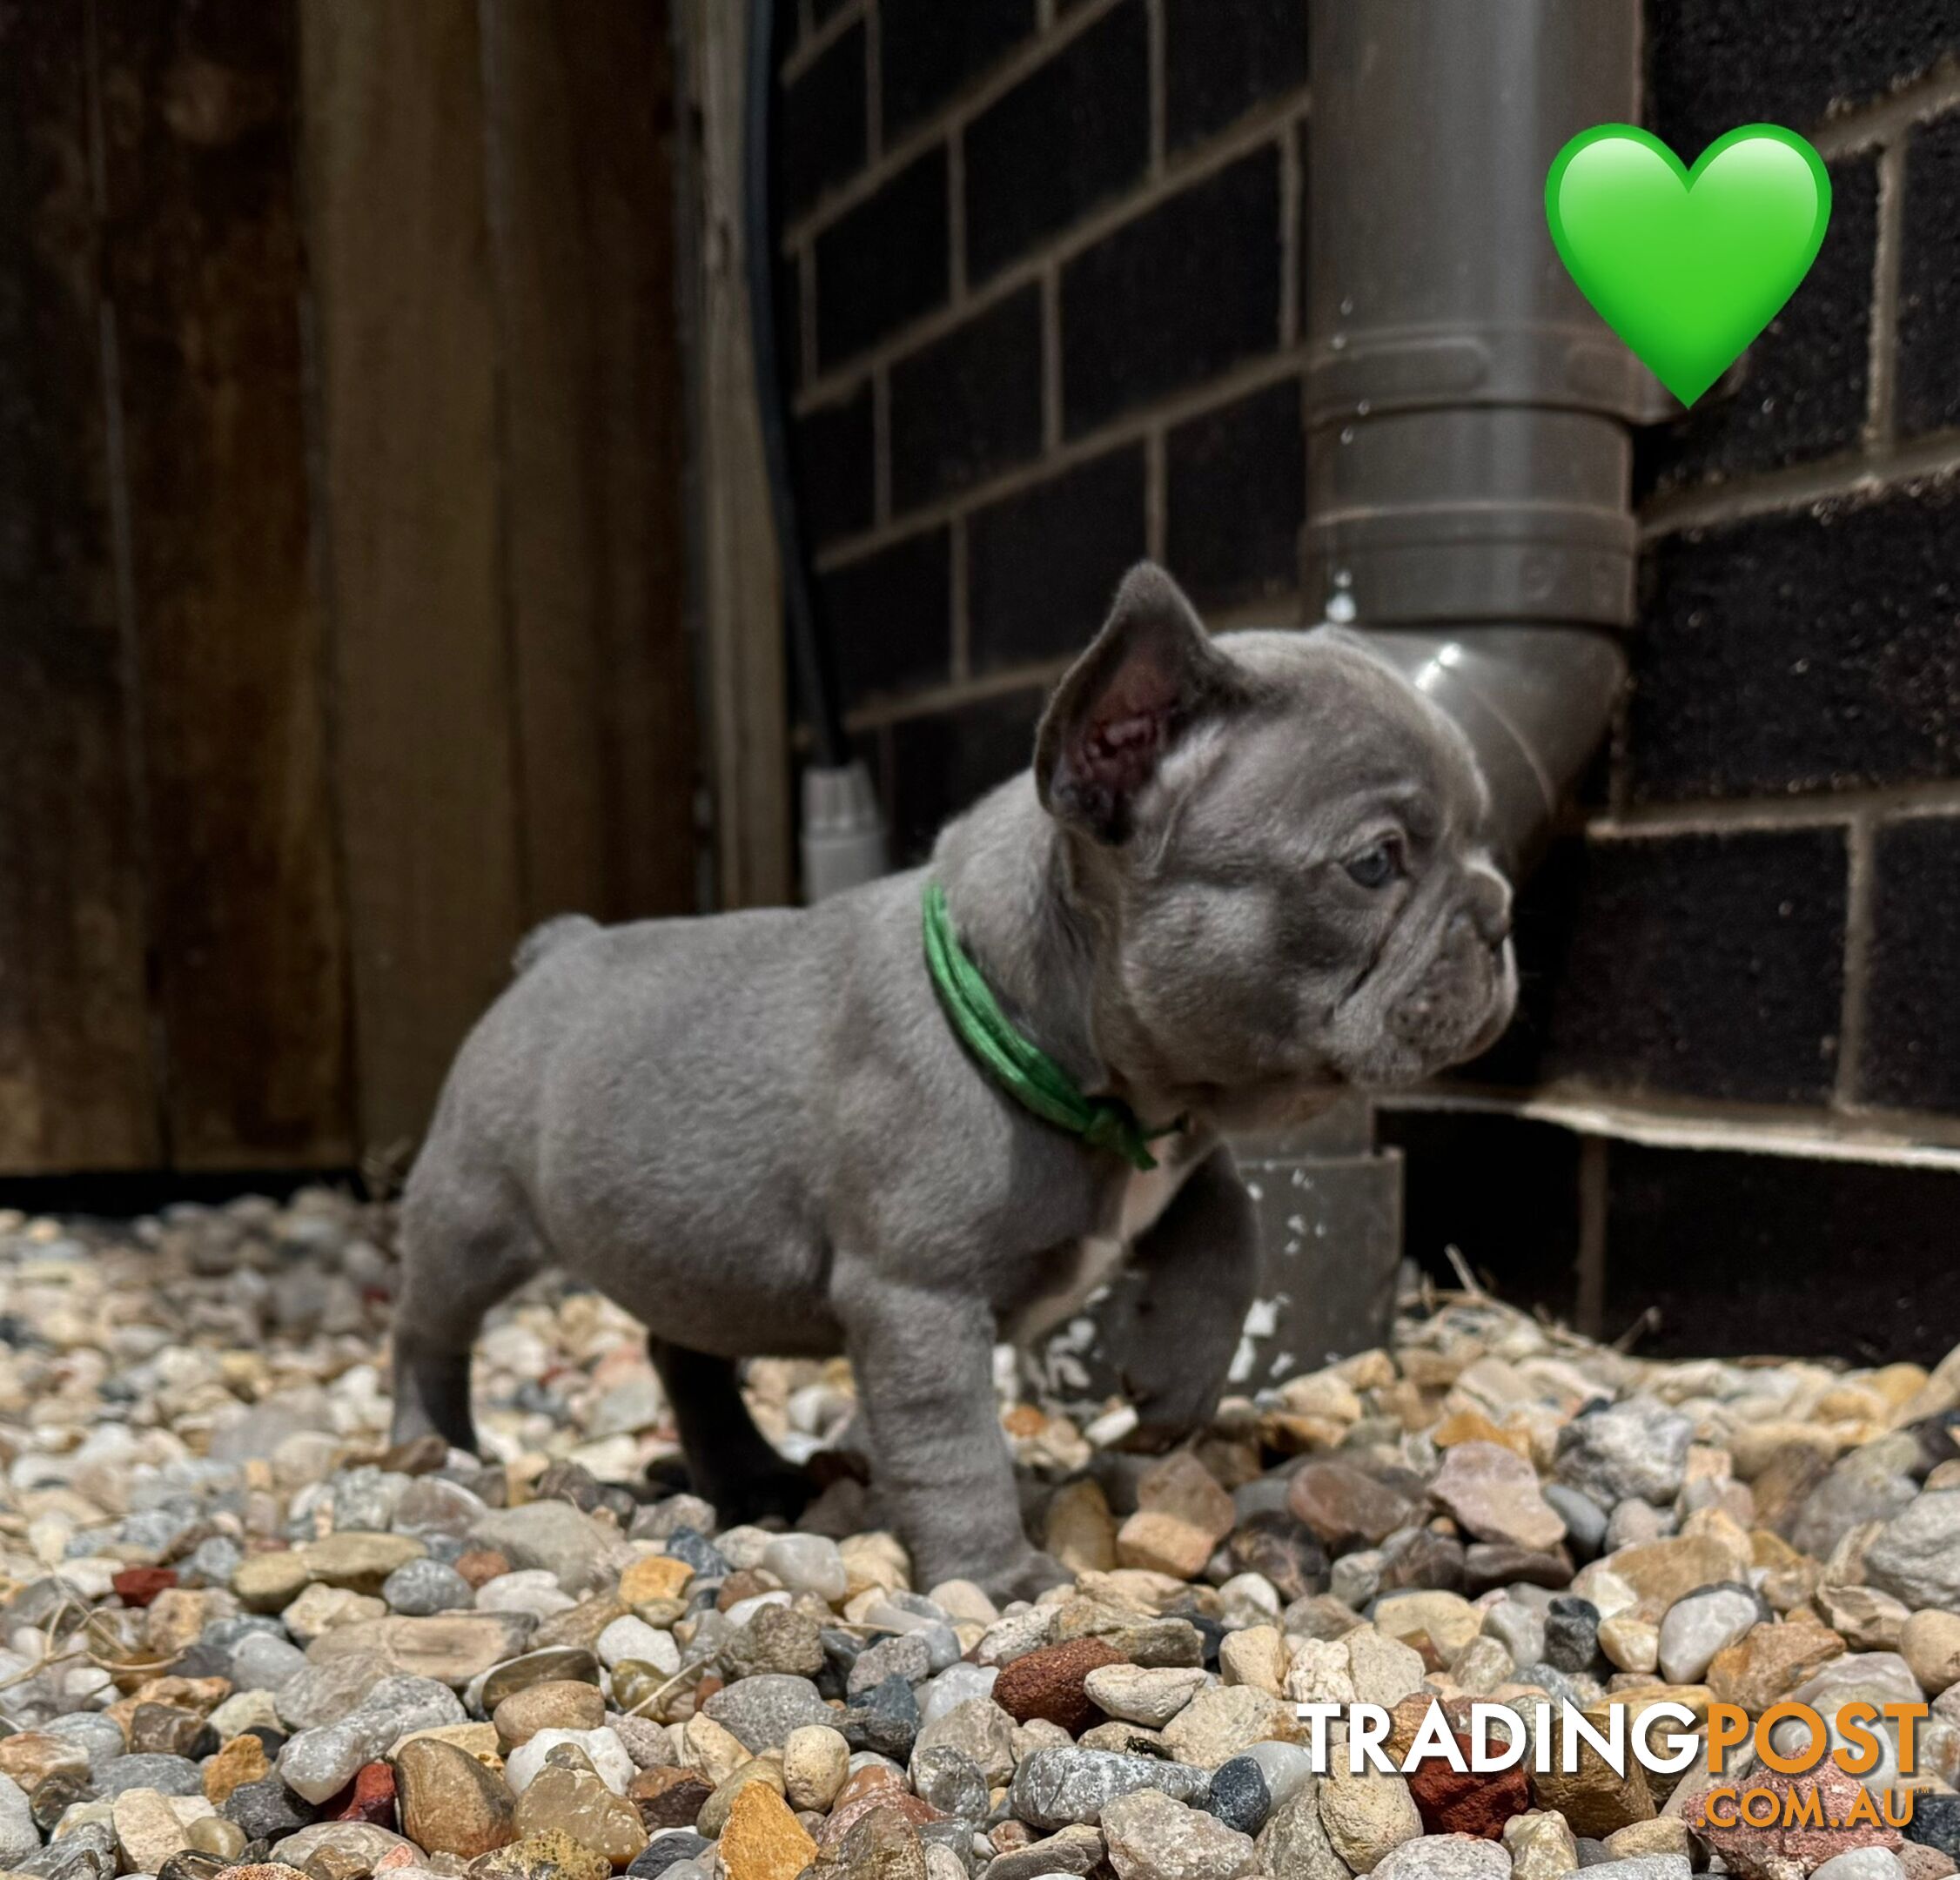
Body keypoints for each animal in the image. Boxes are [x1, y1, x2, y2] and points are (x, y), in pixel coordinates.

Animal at [386, 561, 1513, 1599]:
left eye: (1482, 837)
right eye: (1373, 863)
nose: (1500, 912)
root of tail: (554, 948)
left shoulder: (1177, 1160)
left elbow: (1232, 1231)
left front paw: (1172, 1388)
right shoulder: (917, 1298)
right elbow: (951, 1442)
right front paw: (995, 1577)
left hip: (683, 1250)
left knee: (685, 1353)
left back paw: (747, 1476)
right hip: (473, 1214)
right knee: (428, 1328)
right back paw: (432, 1446)